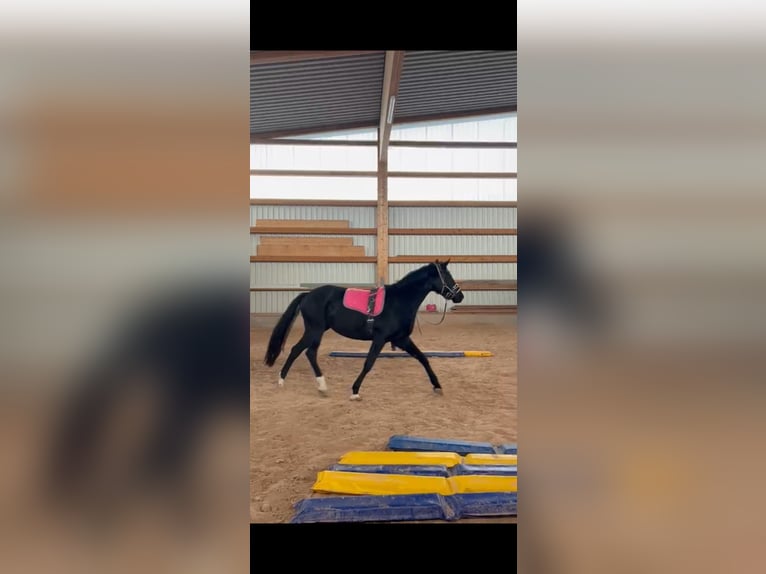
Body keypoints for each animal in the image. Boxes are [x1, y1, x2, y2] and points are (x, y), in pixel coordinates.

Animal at [263, 259, 465, 400]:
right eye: (446, 276)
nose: (459, 296)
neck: (399, 301)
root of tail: (307, 295)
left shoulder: (401, 339)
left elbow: (423, 358)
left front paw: (437, 386)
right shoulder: (380, 338)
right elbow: (368, 363)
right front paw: (355, 391)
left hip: (317, 331)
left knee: (307, 352)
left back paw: (320, 386)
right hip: (315, 330)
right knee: (298, 350)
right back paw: (283, 380)